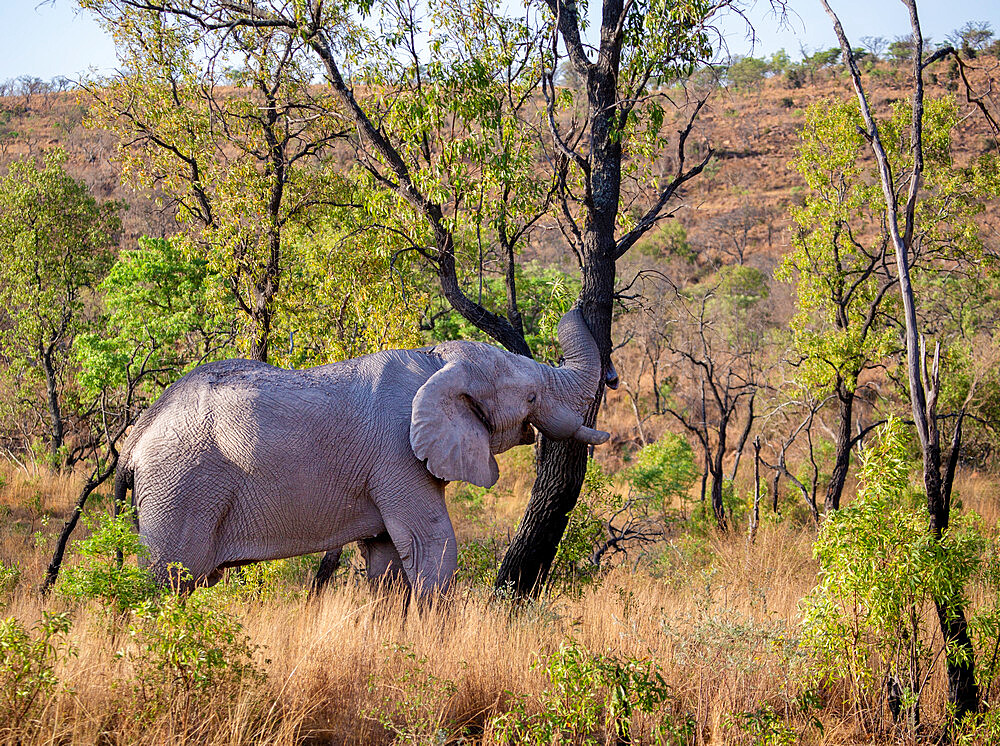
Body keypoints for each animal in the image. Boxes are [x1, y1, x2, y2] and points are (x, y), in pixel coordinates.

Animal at [109, 304, 608, 592]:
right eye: (531, 397)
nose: (581, 302)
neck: (436, 361)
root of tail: (134, 439)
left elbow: (386, 558)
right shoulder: (398, 458)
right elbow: (434, 546)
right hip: (181, 486)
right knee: (168, 580)